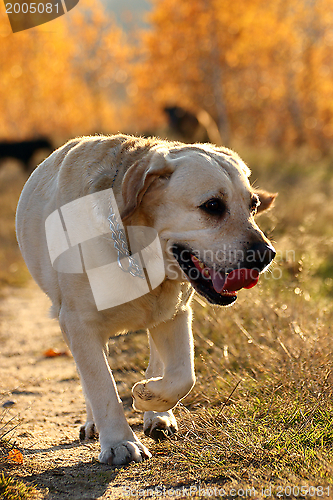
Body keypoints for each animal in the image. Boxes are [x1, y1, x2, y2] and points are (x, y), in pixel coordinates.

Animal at [15, 136, 274, 464]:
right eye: (213, 206)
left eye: (253, 206)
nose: (267, 254)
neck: (137, 253)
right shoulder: (78, 322)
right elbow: (100, 384)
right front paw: (119, 442)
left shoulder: (175, 313)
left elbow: (183, 375)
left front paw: (147, 396)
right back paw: (94, 423)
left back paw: (157, 414)